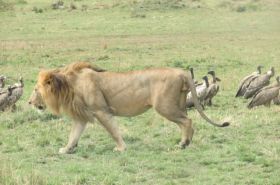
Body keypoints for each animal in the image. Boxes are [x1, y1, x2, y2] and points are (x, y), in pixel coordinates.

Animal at [30, 61, 230, 154]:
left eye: (35, 89)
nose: (29, 102)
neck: (68, 85)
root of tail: (181, 72)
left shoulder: (101, 110)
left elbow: (113, 131)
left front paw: (120, 148)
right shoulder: (82, 117)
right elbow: (73, 135)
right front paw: (67, 149)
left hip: (164, 106)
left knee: (187, 121)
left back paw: (183, 144)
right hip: (177, 105)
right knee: (187, 122)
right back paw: (186, 142)